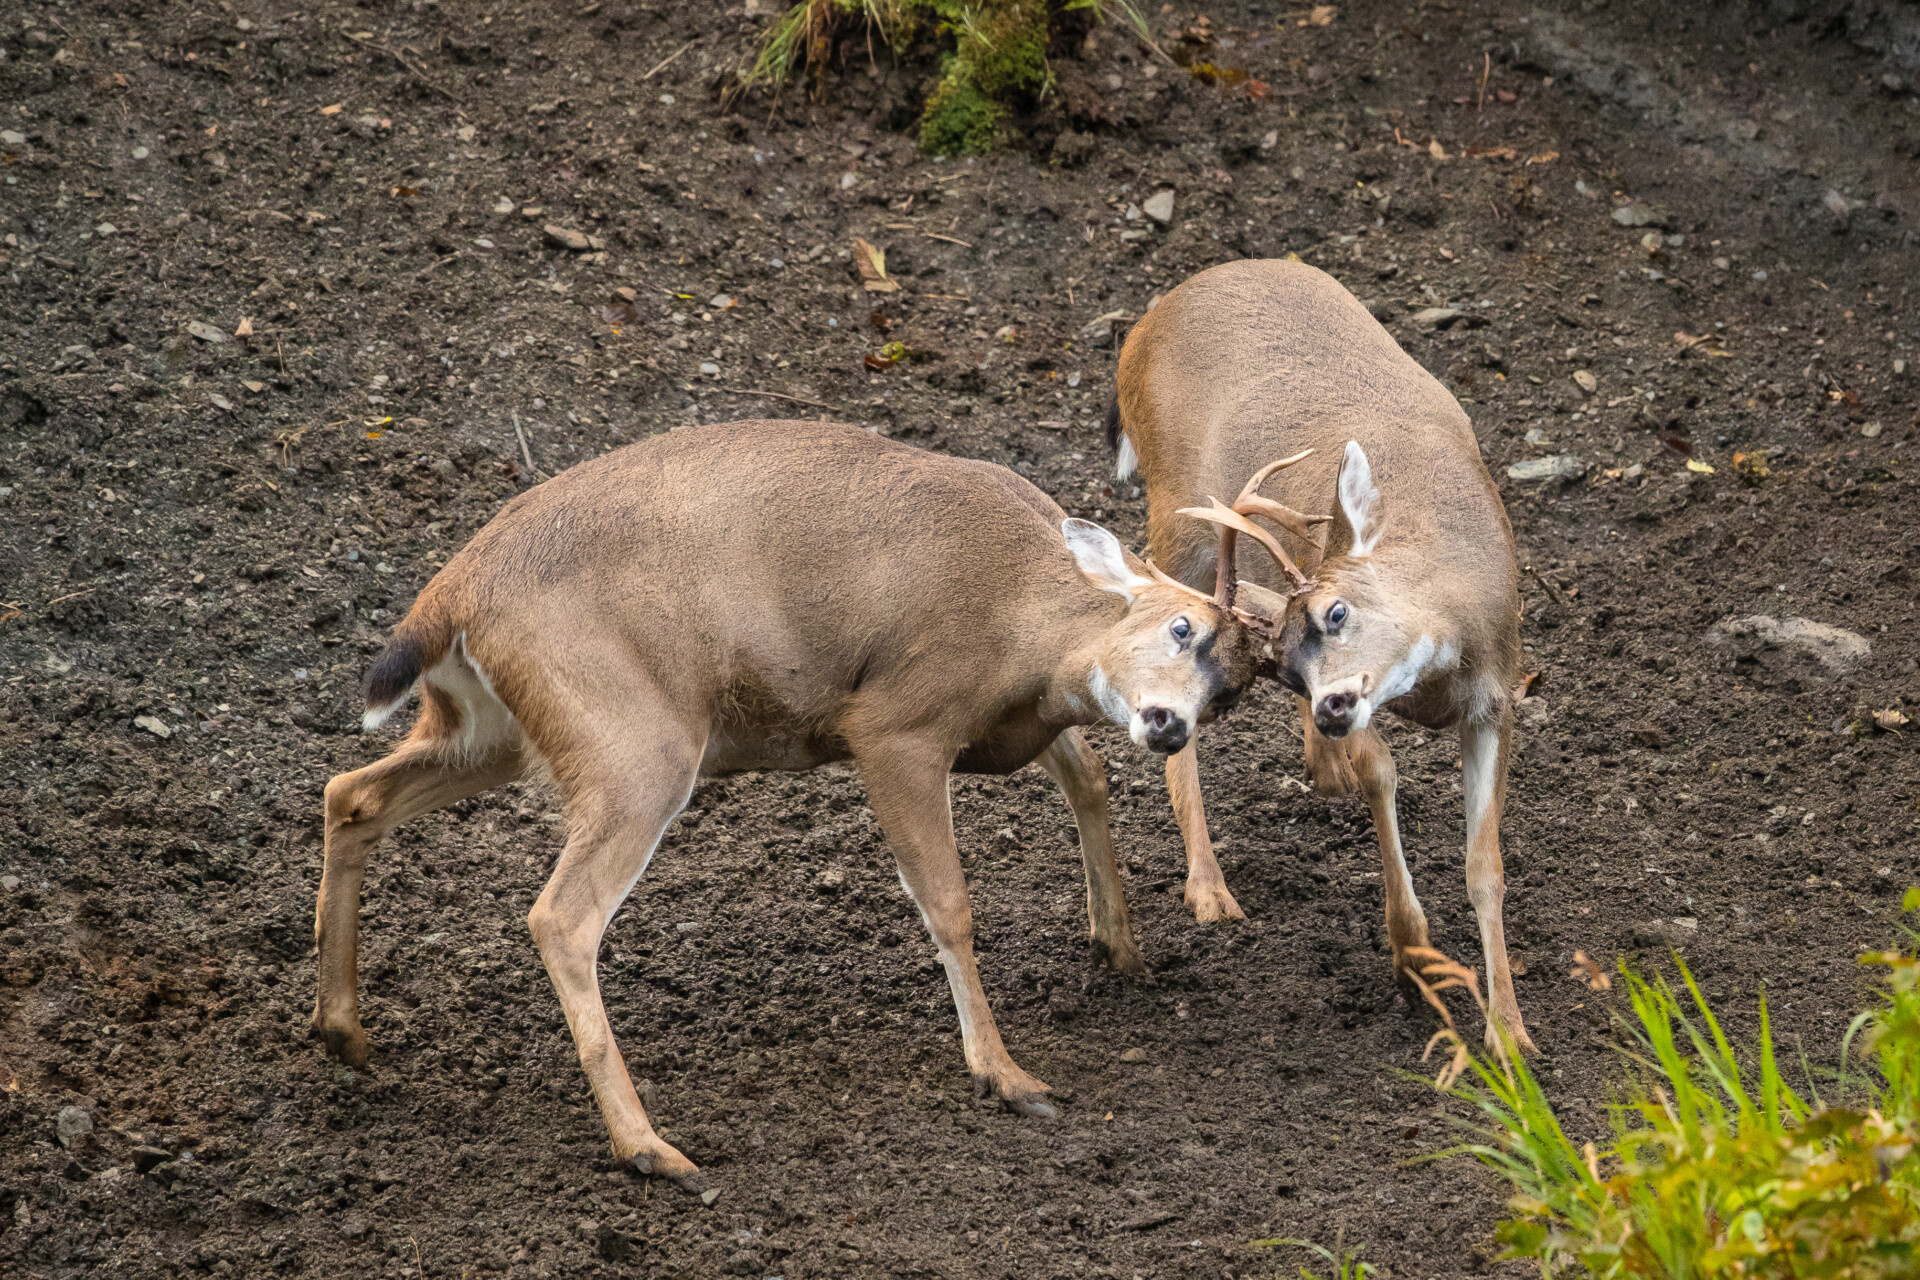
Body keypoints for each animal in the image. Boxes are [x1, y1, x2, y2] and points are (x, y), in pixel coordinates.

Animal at [312, 418, 1304, 1191]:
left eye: (1230, 691)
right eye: (1181, 625)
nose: (1170, 724)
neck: (1028, 623)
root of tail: (454, 592)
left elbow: (1089, 776)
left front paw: (1121, 946)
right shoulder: (896, 723)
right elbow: (949, 902)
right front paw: (1006, 1073)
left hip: (490, 730)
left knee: (350, 792)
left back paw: (342, 1031)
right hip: (637, 744)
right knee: (560, 914)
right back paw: (651, 1148)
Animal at [1108, 258, 1534, 1052]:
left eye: (1338, 613)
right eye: (1290, 663)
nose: (1331, 705)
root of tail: (1154, 315)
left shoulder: (1498, 693)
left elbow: (1485, 863)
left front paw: (1510, 1033)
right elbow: (1383, 773)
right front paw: (1415, 957)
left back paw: (1319, 771)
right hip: (1177, 520)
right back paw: (1209, 887)